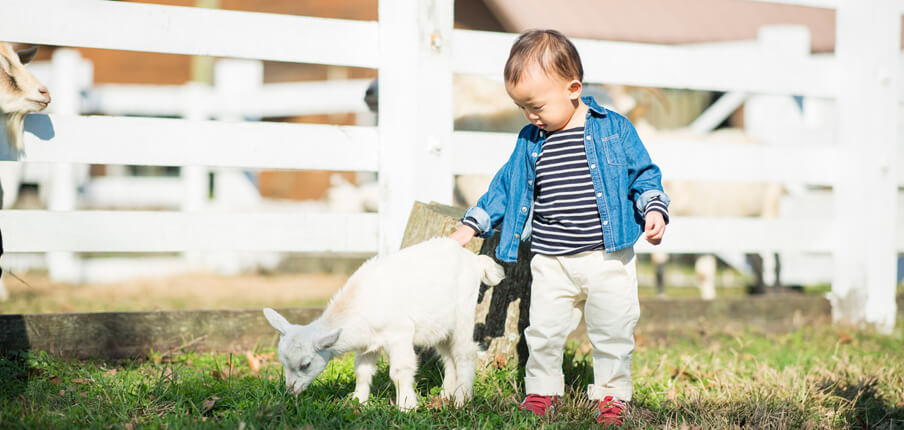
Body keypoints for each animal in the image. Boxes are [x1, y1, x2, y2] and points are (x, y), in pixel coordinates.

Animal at [264, 237, 504, 412]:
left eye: (305, 364)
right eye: (283, 362)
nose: (290, 391)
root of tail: (475, 260)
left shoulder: (399, 334)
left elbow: (400, 370)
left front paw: (406, 407)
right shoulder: (366, 344)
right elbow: (362, 372)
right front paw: (358, 402)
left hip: (464, 312)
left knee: (464, 353)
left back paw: (462, 398)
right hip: (440, 325)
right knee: (448, 356)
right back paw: (446, 395)